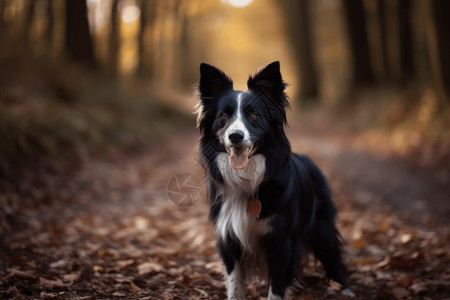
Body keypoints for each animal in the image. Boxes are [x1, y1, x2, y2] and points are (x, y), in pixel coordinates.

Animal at [199, 61, 354, 300]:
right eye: (224, 116)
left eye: (254, 115)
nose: (235, 136)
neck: (247, 179)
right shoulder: (228, 237)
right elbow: (234, 284)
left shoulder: (281, 241)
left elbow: (277, 287)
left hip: (322, 227)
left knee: (333, 258)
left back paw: (345, 289)